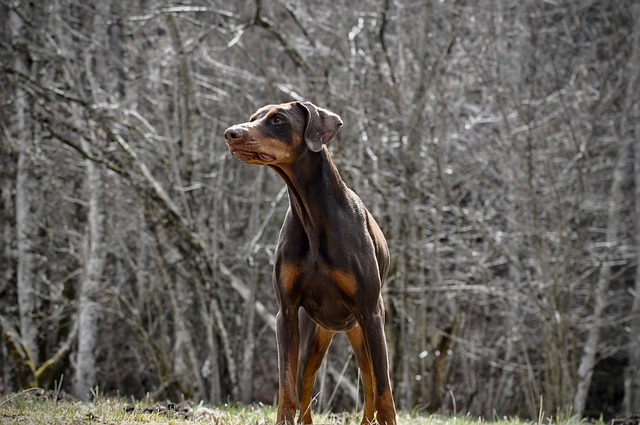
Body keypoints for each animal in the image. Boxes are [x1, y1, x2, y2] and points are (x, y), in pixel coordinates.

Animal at [224, 101, 396, 422]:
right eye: (253, 118)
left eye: (278, 119)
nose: (231, 133)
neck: (313, 214)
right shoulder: (287, 312)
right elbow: (286, 385)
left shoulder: (370, 313)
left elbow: (383, 390)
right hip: (314, 334)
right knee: (305, 384)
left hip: (363, 329)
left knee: (369, 382)